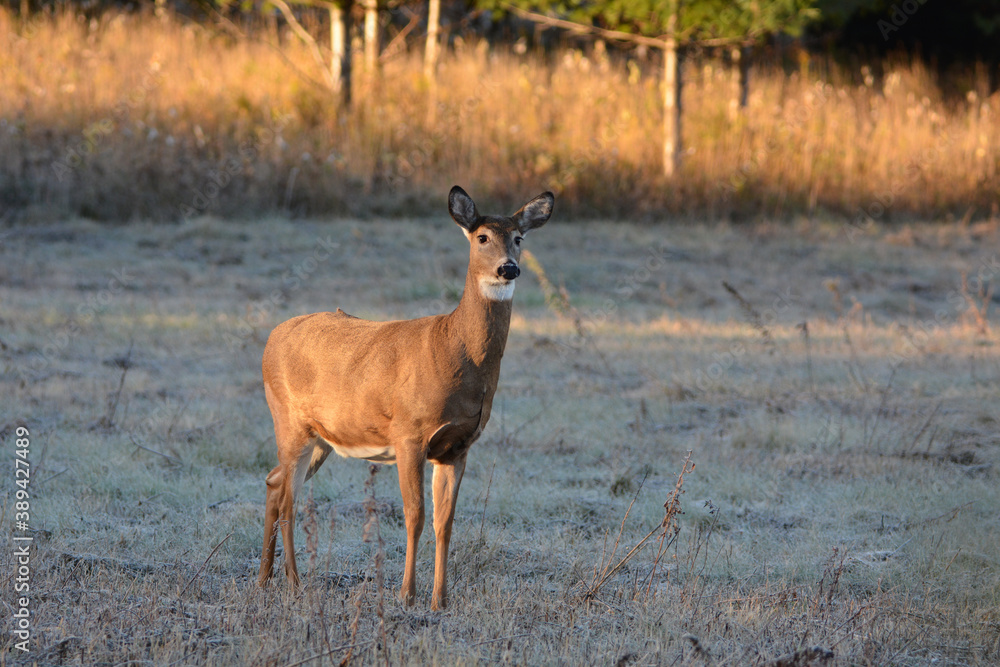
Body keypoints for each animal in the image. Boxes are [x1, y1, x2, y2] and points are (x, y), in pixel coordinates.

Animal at [258, 185, 554, 610]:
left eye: (519, 238)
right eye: (482, 237)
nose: (508, 268)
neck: (452, 349)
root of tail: (271, 338)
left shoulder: (458, 446)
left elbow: (445, 521)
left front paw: (440, 600)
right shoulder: (409, 433)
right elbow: (414, 515)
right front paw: (406, 595)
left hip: (321, 438)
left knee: (273, 482)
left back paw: (264, 580)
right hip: (289, 420)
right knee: (287, 500)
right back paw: (295, 584)